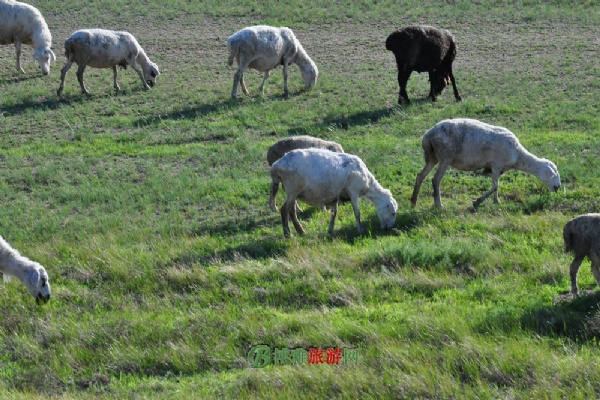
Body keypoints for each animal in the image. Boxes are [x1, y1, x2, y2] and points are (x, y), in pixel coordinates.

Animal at [410, 117, 560, 208]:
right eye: (551, 174)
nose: (558, 187)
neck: (518, 155)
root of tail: (428, 134)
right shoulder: (496, 165)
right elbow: (495, 186)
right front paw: (477, 202)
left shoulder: (497, 168)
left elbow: (496, 186)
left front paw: (496, 201)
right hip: (445, 157)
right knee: (435, 180)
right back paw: (438, 205)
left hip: (432, 156)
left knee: (420, 176)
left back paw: (413, 201)